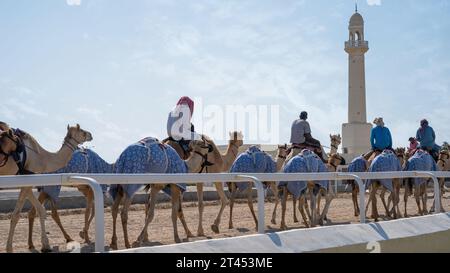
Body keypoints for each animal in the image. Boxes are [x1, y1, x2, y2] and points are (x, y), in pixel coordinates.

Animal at [0, 124, 92, 252]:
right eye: (82, 131)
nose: (91, 135)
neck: (42, 157)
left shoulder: (28, 181)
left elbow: (38, 210)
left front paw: (44, 244)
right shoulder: (28, 179)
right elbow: (20, 214)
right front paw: (10, 248)